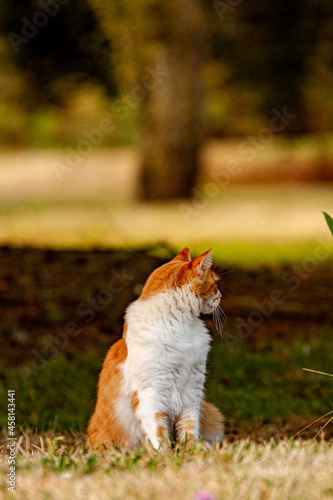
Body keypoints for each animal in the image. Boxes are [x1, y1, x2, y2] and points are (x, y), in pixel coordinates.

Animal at [87, 248, 224, 452]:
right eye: (214, 284)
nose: (221, 295)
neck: (181, 325)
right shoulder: (151, 394)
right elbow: (158, 432)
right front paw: (165, 455)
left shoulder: (191, 392)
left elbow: (189, 429)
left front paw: (190, 453)